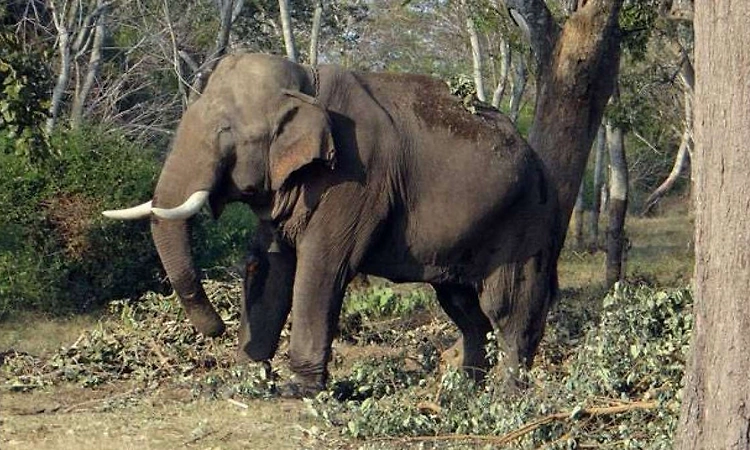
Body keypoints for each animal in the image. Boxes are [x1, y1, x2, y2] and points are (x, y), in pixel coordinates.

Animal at [103, 52, 560, 395]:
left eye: (225, 132)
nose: (215, 329)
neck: (308, 81)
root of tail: (541, 164)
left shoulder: (356, 177)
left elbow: (321, 266)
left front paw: (298, 390)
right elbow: (269, 266)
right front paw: (245, 382)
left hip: (525, 224)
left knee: (507, 307)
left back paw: (506, 394)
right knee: (464, 308)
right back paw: (464, 390)